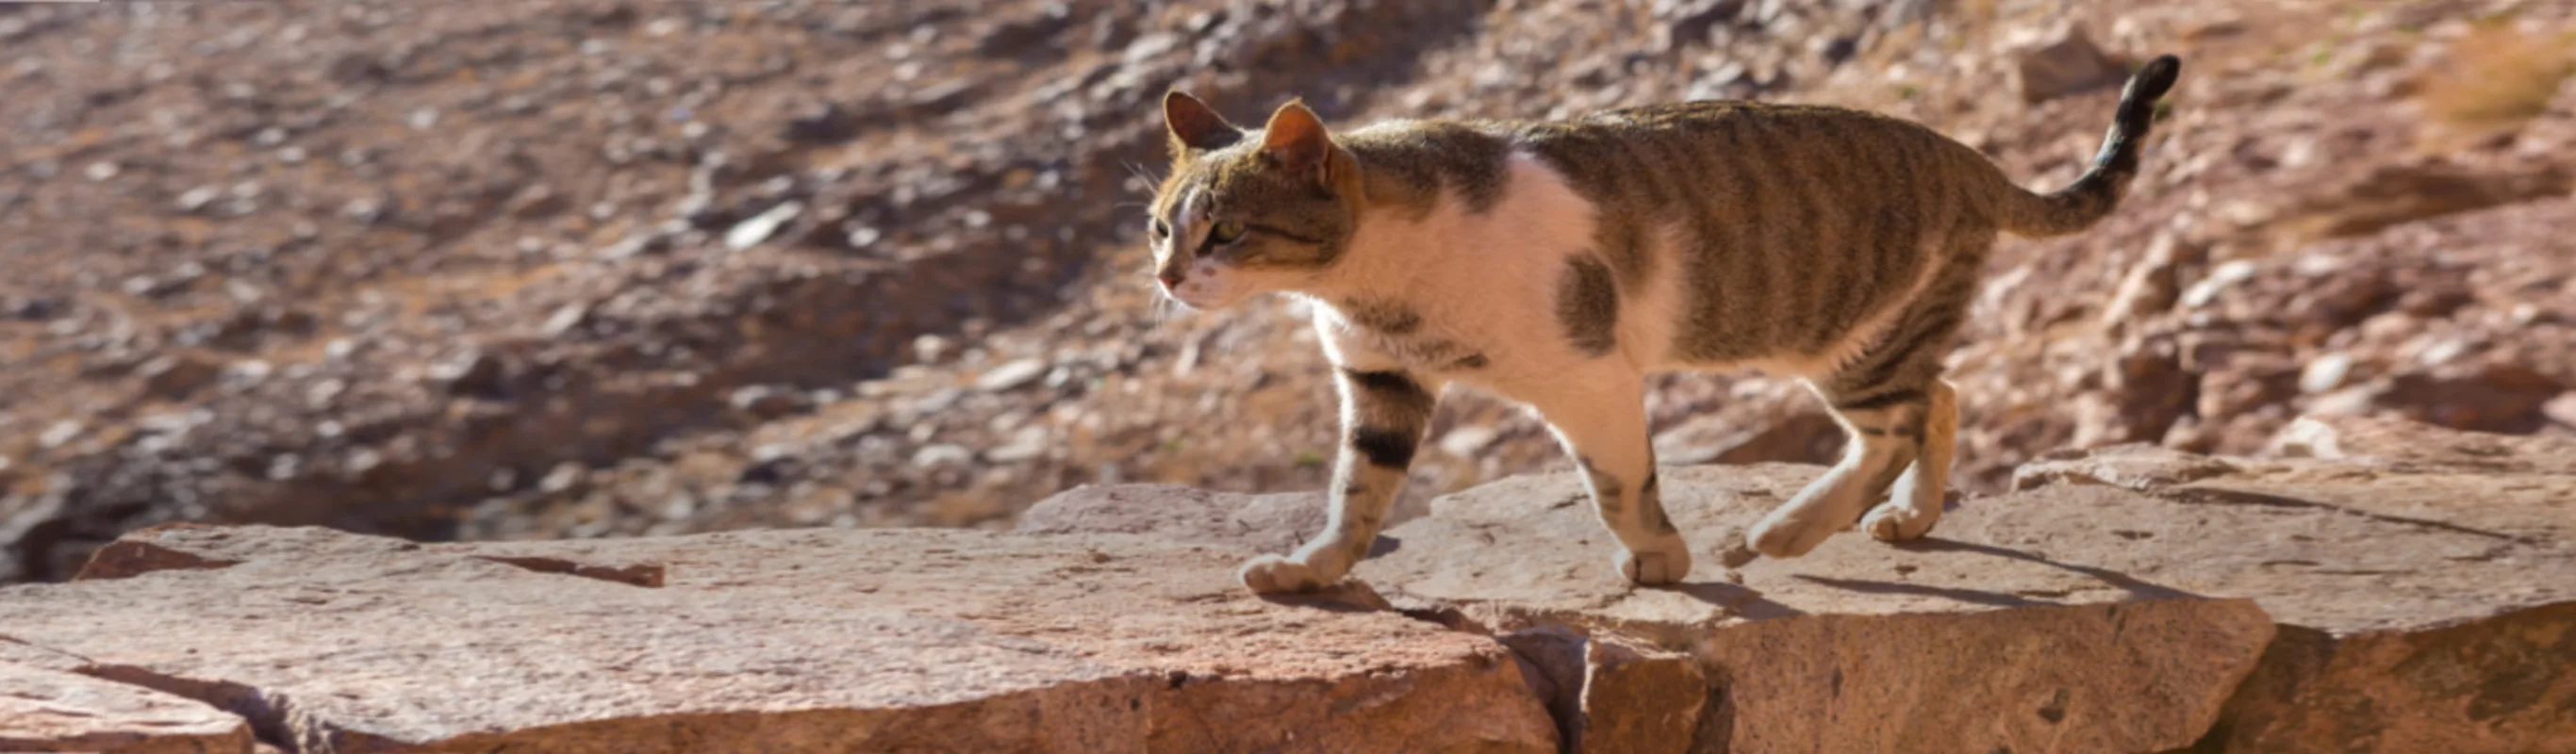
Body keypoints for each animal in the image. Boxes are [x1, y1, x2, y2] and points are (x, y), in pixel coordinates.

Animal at [1148, 56, 2173, 589]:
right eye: (1161, 225)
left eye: (1227, 230)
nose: (1165, 275)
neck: (1371, 286)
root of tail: (1968, 158)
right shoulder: (1382, 384)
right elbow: (1356, 491)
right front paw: (1314, 567)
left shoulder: (1587, 374)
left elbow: (1617, 483)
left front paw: (1657, 557)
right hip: (1882, 336)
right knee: (1943, 397)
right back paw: (1911, 516)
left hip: (1852, 340)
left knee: (1893, 425)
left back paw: (1784, 533)